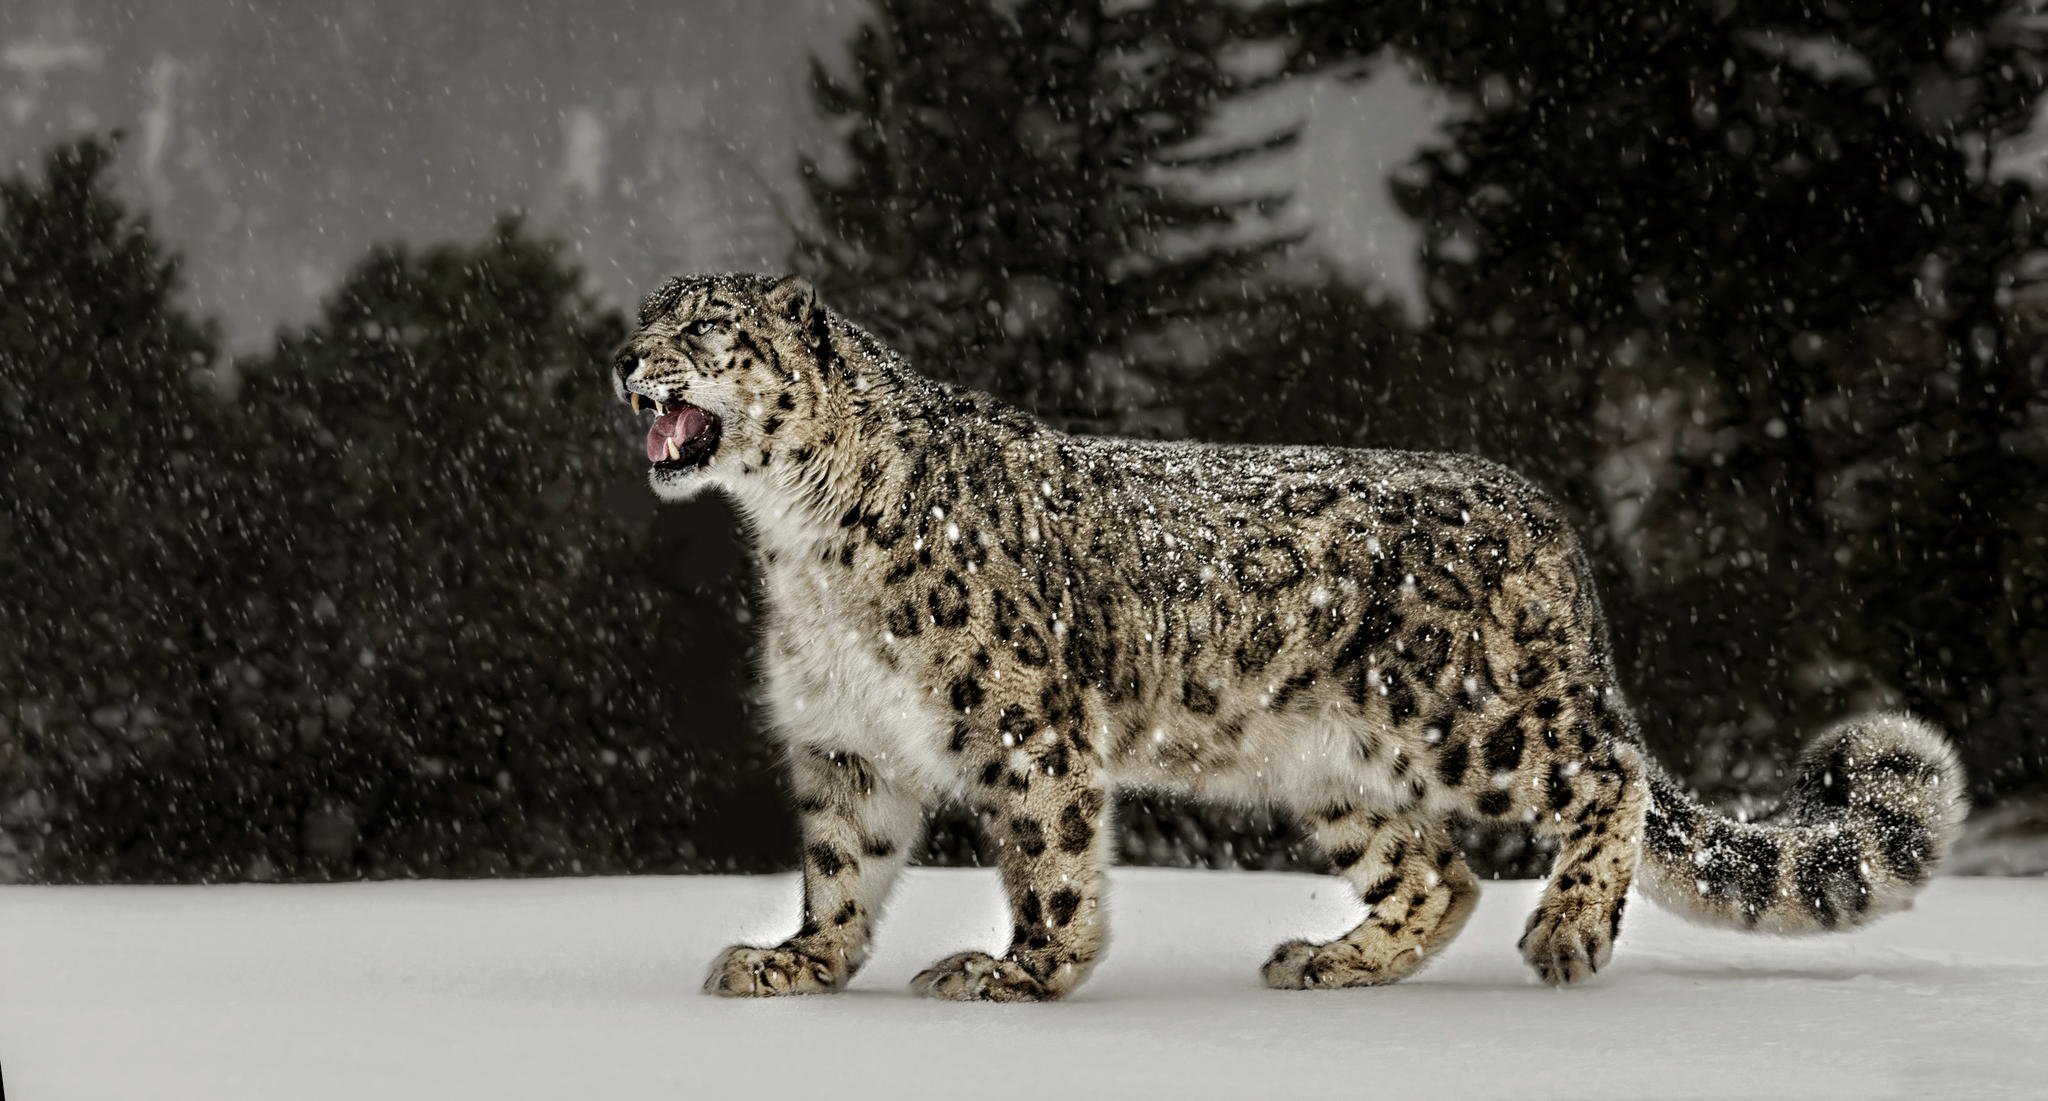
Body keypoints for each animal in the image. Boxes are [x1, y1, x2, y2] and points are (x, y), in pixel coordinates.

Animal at [612, 272, 1968, 1002]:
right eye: (646, 316)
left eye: (705, 327)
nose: (623, 356)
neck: (796, 545)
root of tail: (1541, 514)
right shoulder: (843, 740)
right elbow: (842, 867)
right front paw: (795, 963)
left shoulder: (1019, 720)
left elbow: (1046, 861)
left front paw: (1017, 973)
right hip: (1328, 767)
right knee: (1436, 870)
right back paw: (1330, 961)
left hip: (1477, 718)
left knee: (1607, 776)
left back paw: (1569, 927)